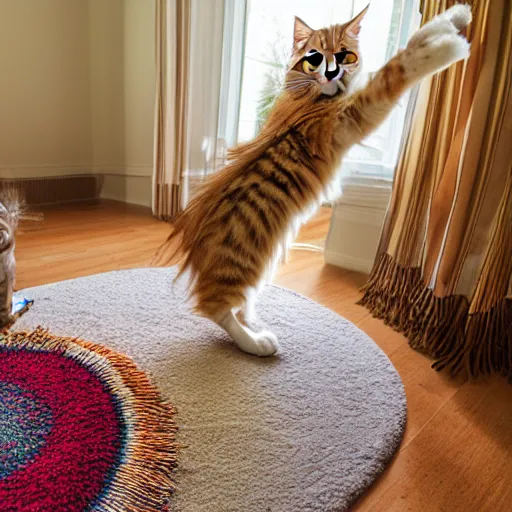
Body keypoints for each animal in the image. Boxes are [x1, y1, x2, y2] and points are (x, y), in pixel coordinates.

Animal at [159, 4, 472, 356]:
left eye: (346, 55)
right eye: (316, 58)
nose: (334, 74)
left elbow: (412, 42)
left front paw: (454, 19)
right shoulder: (350, 117)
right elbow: (396, 68)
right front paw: (448, 48)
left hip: (264, 263)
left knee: (240, 304)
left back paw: (254, 323)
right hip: (241, 263)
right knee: (216, 307)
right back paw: (255, 342)